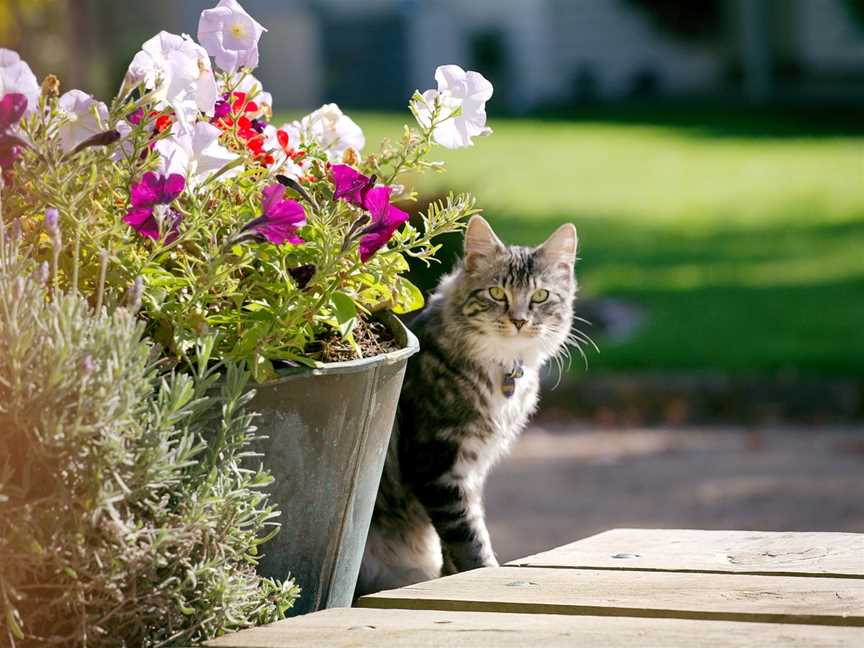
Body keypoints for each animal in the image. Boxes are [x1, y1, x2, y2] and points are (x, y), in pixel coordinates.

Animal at [354, 215, 576, 596]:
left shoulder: (471, 471)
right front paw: (483, 574)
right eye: (497, 293)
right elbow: (469, 538)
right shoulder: (438, 464)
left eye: (540, 296)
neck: (502, 370)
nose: (519, 320)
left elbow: (456, 547)